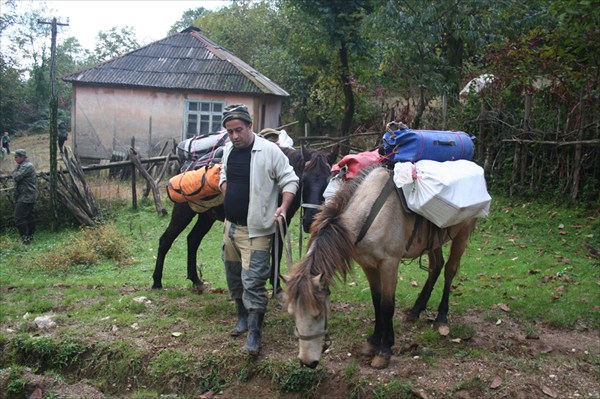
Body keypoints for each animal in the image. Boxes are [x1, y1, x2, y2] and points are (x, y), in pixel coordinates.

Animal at [151, 145, 338, 292]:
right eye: (304, 179)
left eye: (328, 181)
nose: (310, 221)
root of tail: (187, 166)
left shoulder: (282, 221)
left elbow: (276, 251)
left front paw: (275, 285)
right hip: (183, 213)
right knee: (165, 240)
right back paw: (157, 282)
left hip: (206, 217)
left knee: (193, 240)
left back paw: (196, 280)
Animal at [284, 166, 476, 368]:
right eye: (292, 314)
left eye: (318, 313)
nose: (307, 362)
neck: (370, 214)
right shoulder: (368, 264)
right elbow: (376, 301)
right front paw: (374, 341)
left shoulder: (389, 264)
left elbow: (387, 305)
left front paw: (385, 349)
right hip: (433, 241)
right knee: (436, 266)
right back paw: (415, 311)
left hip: (462, 233)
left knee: (450, 270)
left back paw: (441, 317)